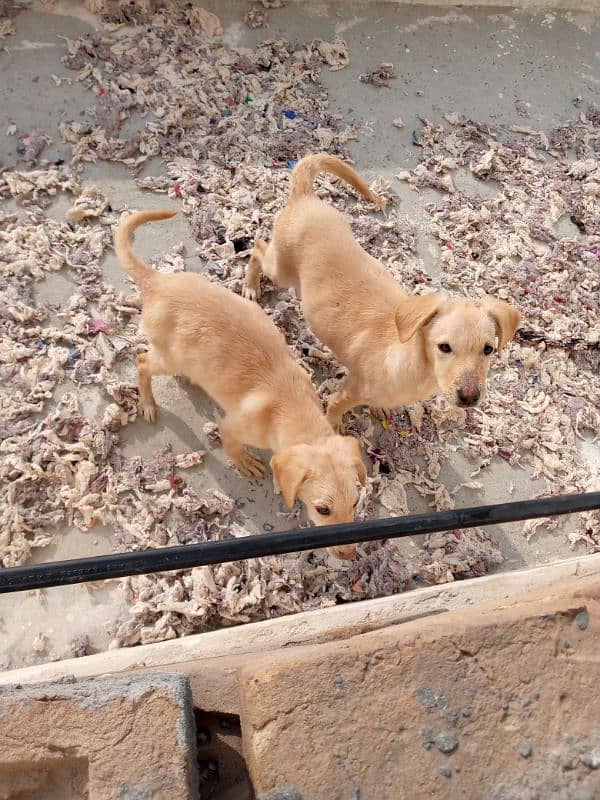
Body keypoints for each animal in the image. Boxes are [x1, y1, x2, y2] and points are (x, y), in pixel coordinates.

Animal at [112, 209, 366, 560]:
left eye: (355, 503)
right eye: (323, 510)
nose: (351, 555)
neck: (292, 408)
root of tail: (158, 282)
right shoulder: (233, 426)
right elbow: (232, 445)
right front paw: (245, 462)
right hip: (169, 356)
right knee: (142, 362)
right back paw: (147, 401)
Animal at [244, 156, 520, 432]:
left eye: (488, 350)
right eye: (444, 347)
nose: (470, 397)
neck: (412, 365)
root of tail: (305, 197)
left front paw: (376, 408)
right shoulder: (346, 394)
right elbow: (334, 412)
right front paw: (337, 428)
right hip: (281, 270)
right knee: (257, 247)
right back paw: (250, 286)